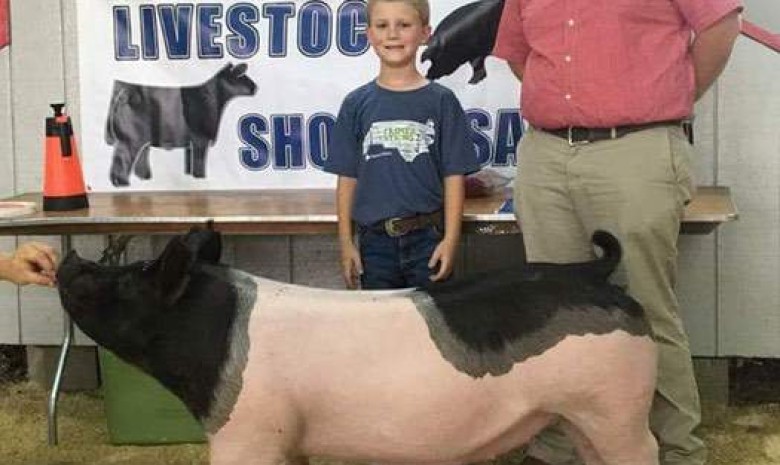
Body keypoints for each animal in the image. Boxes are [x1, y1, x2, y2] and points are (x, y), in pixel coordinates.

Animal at [56, 228, 660, 464]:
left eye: (132, 277)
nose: (70, 260)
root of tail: (590, 271)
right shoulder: (287, 438)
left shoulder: (246, 432)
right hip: (583, 415)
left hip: (617, 406)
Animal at [103, 62, 256, 186]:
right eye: (241, 76)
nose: (255, 87)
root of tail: (123, 93)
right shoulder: (200, 140)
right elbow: (199, 164)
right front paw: (201, 178)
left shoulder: (190, 145)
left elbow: (189, 164)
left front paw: (191, 178)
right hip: (130, 140)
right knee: (120, 160)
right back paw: (122, 183)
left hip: (142, 140)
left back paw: (145, 178)